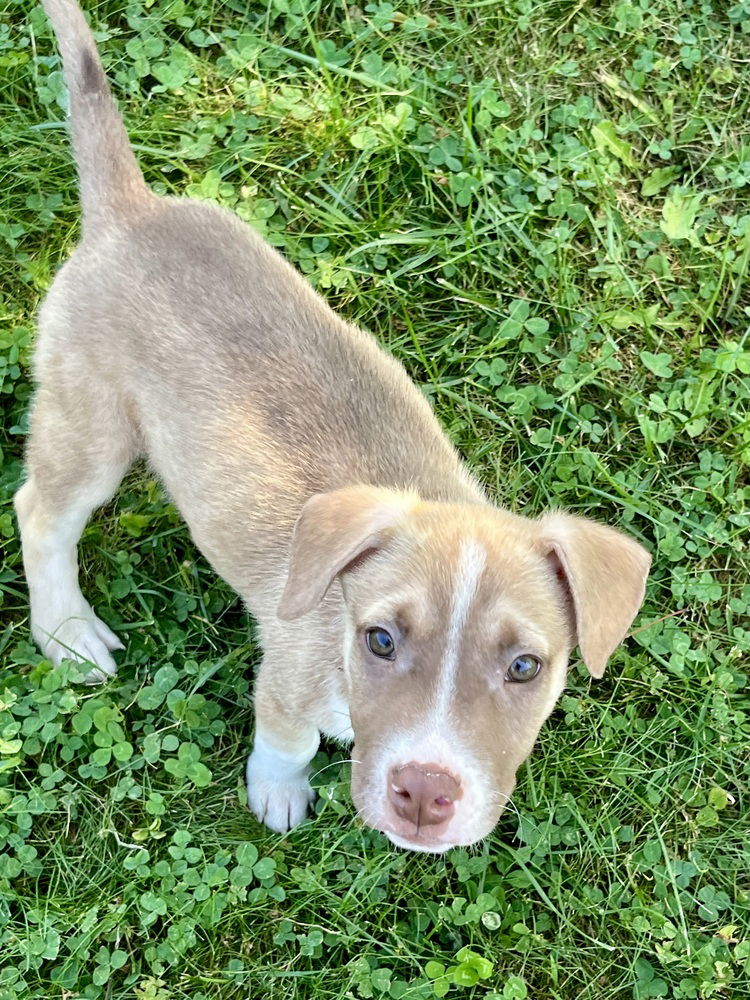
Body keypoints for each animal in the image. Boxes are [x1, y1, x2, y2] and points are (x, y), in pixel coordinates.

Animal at [16, 0, 652, 852]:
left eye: (525, 666)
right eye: (379, 640)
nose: (424, 792)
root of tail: (129, 209)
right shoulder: (287, 674)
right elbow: (287, 738)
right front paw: (278, 792)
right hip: (90, 424)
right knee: (40, 511)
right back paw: (67, 631)